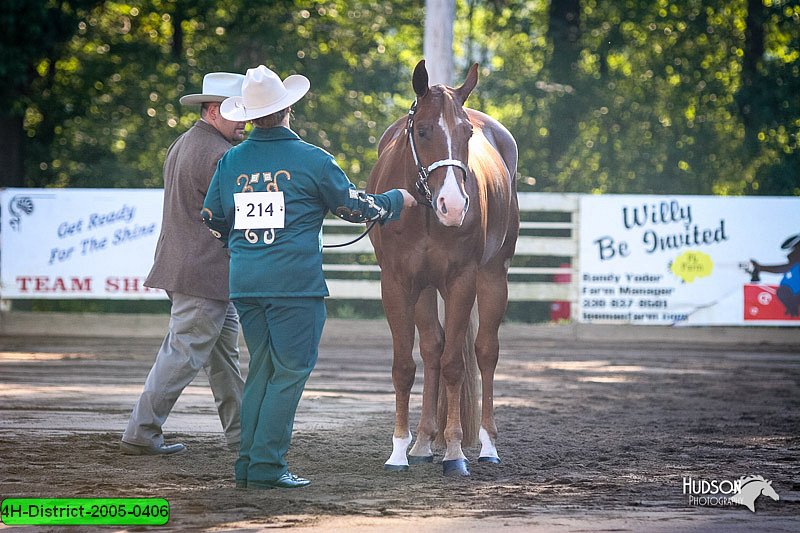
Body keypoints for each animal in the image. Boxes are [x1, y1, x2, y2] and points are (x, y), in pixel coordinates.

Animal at [368, 60, 520, 476]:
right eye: (422, 130)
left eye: (466, 133)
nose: (452, 205)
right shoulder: (397, 284)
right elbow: (405, 366)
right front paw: (399, 451)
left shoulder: (461, 281)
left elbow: (456, 364)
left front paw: (454, 453)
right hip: (424, 288)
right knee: (433, 348)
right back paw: (422, 442)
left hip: (493, 277)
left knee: (485, 352)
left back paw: (487, 446)